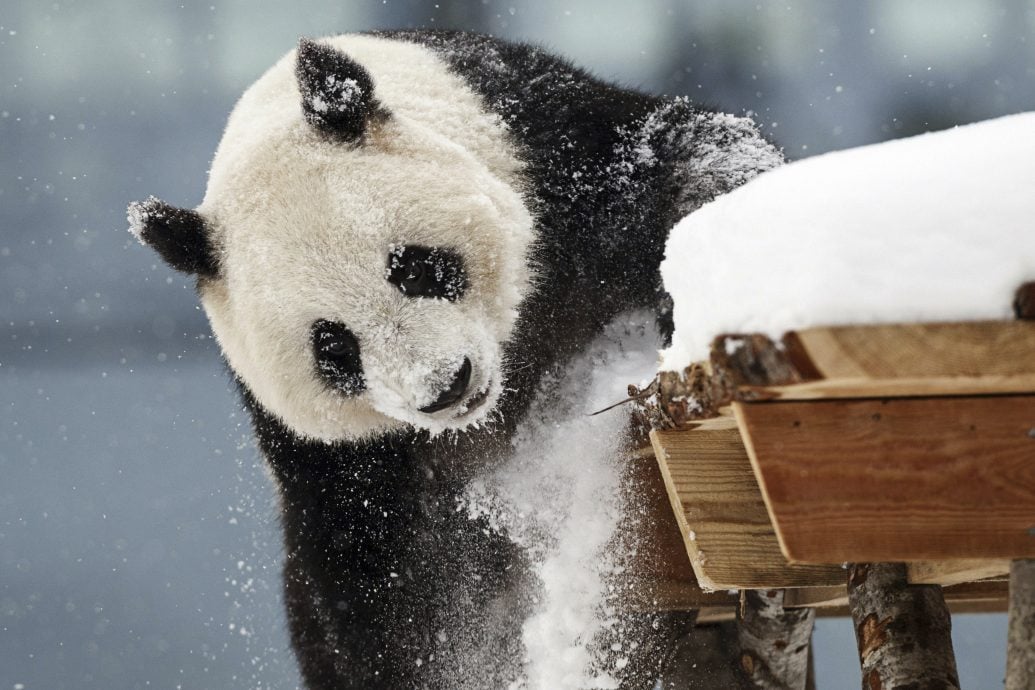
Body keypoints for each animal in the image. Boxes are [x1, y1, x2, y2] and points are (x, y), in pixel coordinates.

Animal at [127, 29, 778, 686]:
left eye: (413, 268)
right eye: (333, 347)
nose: (444, 387)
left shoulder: (552, 156)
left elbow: (681, 157)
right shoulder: (328, 456)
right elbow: (375, 583)